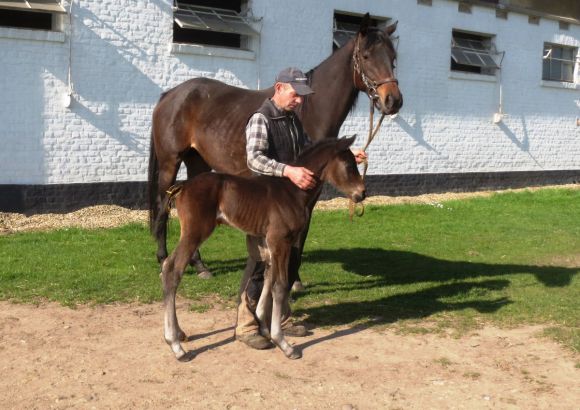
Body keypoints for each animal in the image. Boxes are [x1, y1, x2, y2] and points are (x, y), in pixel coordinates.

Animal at [148, 13, 404, 276]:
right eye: (366, 56)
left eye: (393, 58)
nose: (393, 101)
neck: (309, 109)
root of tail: (170, 94)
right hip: (170, 162)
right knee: (162, 205)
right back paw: (163, 259)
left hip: (197, 162)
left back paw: (200, 265)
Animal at [161, 137, 364, 358]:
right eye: (348, 166)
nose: (362, 193)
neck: (293, 192)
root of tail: (183, 186)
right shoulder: (280, 242)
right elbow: (280, 286)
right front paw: (283, 343)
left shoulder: (269, 246)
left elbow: (268, 281)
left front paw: (265, 329)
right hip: (194, 233)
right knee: (172, 269)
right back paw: (176, 346)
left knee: (166, 266)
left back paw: (178, 334)